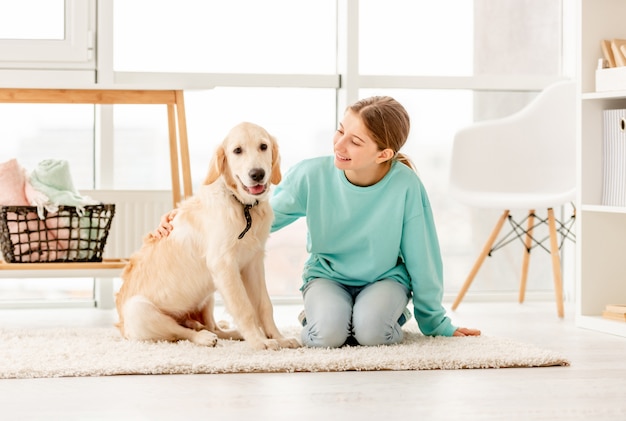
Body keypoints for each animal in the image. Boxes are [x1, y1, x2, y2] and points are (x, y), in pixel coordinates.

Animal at [117, 122, 302, 352]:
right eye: (237, 150)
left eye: (263, 146)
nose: (257, 174)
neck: (242, 206)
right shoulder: (224, 265)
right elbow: (244, 308)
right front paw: (259, 341)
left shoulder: (254, 263)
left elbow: (265, 305)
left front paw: (279, 338)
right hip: (139, 311)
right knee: (181, 332)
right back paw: (204, 338)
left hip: (208, 294)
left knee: (212, 327)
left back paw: (232, 333)